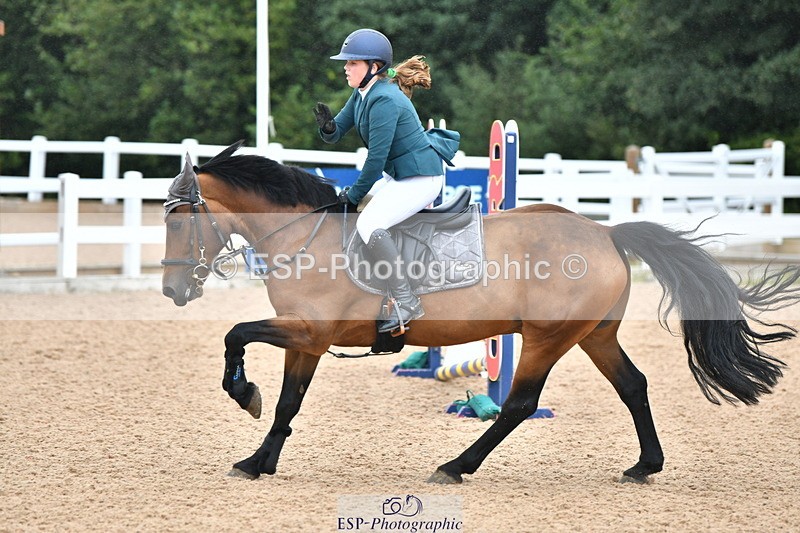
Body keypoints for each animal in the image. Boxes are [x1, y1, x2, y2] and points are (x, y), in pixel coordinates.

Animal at [161, 141, 800, 484]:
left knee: (518, 404)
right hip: (594, 335)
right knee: (633, 386)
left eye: (179, 220)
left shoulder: (308, 332)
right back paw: (645, 465)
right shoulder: (308, 342)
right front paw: (258, 457)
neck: (302, 236)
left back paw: (455, 464)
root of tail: (605, 232)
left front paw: (244, 398)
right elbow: (285, 398)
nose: (171, 290)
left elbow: (237, 337)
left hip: (547, 338)